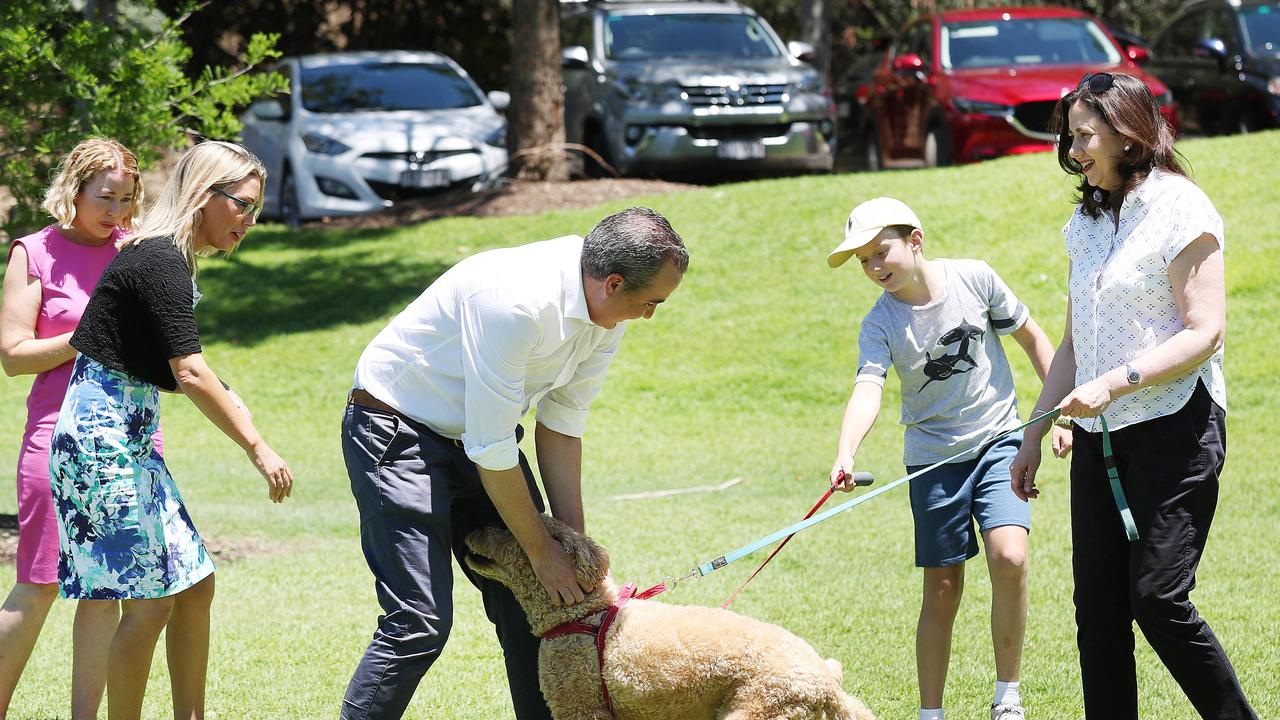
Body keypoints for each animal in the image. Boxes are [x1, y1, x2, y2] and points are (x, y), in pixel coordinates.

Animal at [465, 512, 875, 717]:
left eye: (506, 529)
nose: (473, 528)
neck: (586, 614)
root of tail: (829, 687)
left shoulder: (582, 708)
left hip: (758, 708)